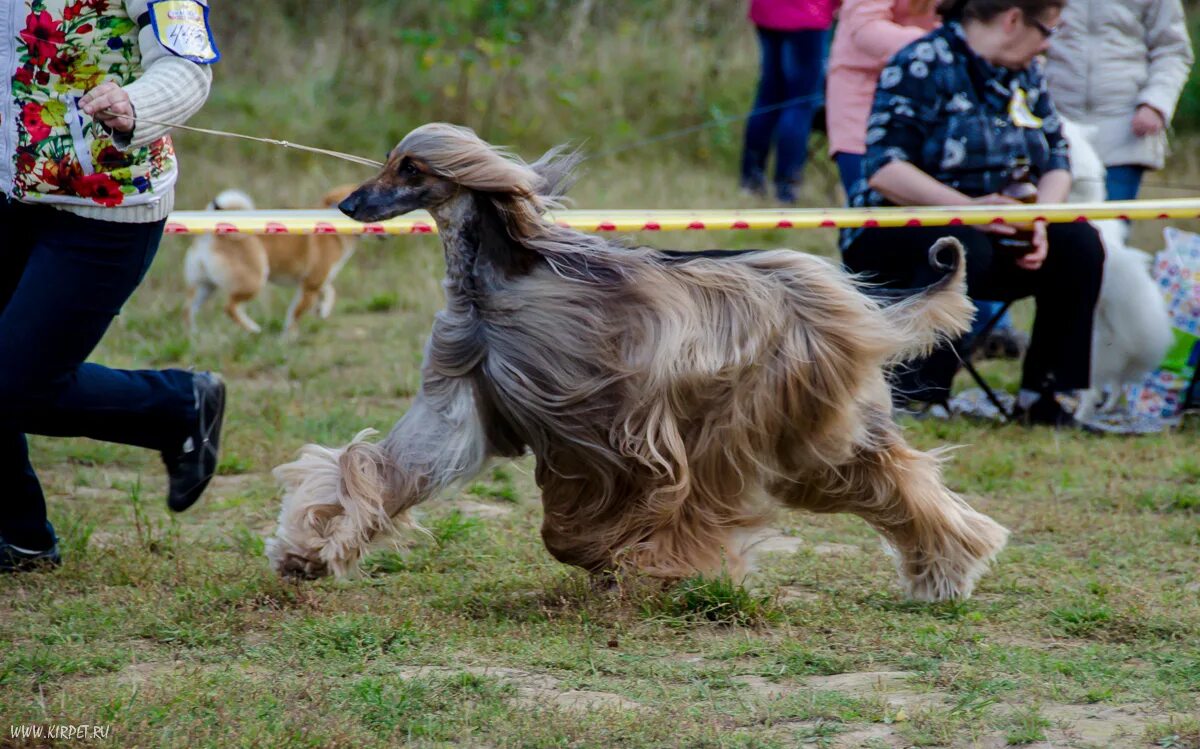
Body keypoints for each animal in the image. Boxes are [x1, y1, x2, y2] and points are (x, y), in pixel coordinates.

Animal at [182, 184, 360, 333]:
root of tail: (212, 233)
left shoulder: (312, 282)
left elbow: (329, 291)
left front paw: (322, 309)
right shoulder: (311, 284)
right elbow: (295, 316)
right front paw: (288, 339)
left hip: (206, 286)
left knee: (189, 308)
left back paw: (192, 336)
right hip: (253, 280)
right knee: (230, 307)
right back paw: (253, 329)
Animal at [267, 124, 1008, 602]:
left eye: (411, 169)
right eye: (389, 161)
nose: (348, 204)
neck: (498, 281)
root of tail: (842, 298)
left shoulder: (600, 427)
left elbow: (574, 523)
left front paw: (623, 561)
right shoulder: (458, 402)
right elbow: (375, 468)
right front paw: (307, 551)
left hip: (764, 419)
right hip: (812, 429)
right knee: (889, 477)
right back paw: (946, 568)